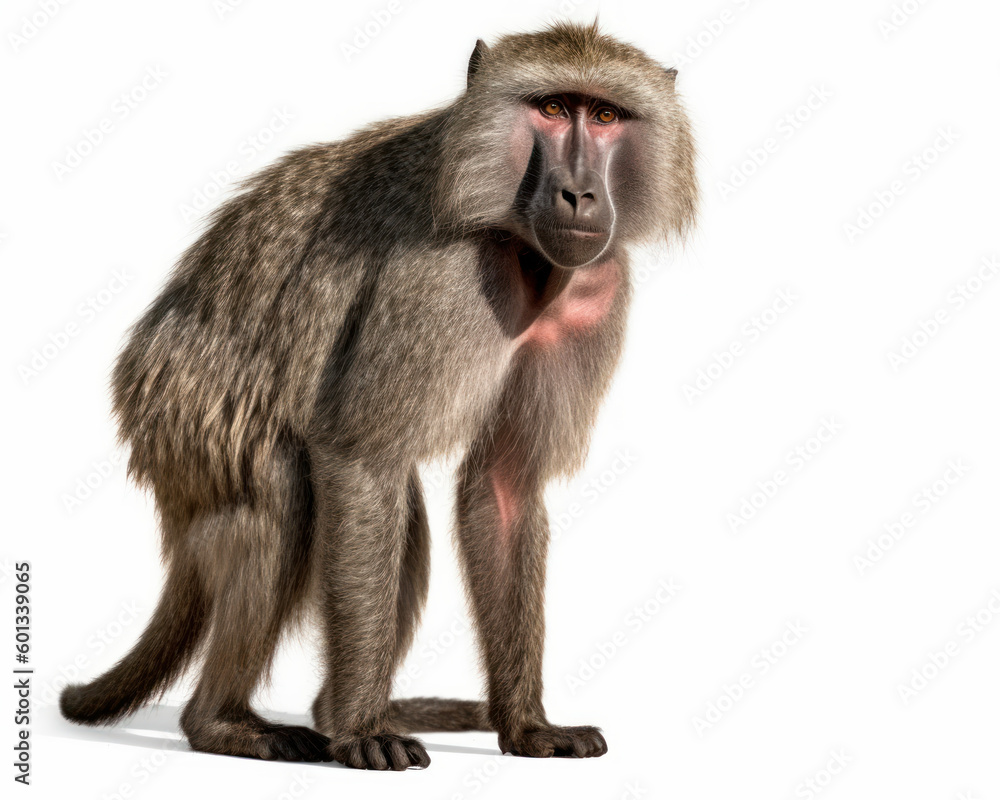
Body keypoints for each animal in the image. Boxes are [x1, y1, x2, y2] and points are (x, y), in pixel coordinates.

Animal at [59, 21, 697, 770]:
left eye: (604, 116)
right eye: (551, 108)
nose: (578, 195)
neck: (518, 242)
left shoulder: (598, 288)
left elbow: (504, 484)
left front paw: (528, 726)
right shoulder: (441, 277)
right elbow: (360, 458)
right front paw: (364, 734)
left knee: (397, 529)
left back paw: (337, 712)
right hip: (189, 417)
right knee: (286, 500)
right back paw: (234, 724)